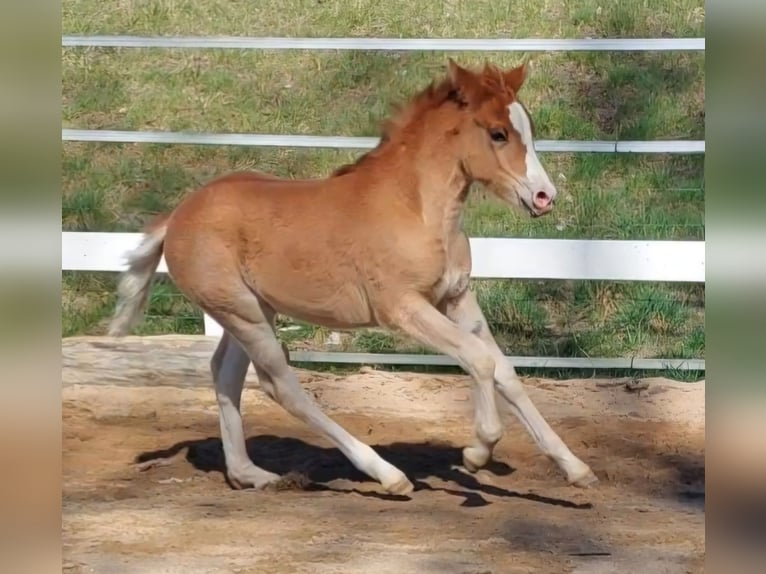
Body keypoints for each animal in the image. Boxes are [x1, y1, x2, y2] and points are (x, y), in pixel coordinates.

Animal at [108, 59, 598, 495]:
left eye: (528, 130)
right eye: (498, 133)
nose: (544, 196)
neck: (417, 209)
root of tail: (176, 216)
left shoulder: (456, 297)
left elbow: (505, 370)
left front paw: (575, 468)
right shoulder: (403, 307)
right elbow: (478, 360)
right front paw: (477, 453)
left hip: (249, 310)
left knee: (225, 375)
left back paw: (254, 476)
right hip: (243, 313)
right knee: (280, 385)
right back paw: (388, 475)